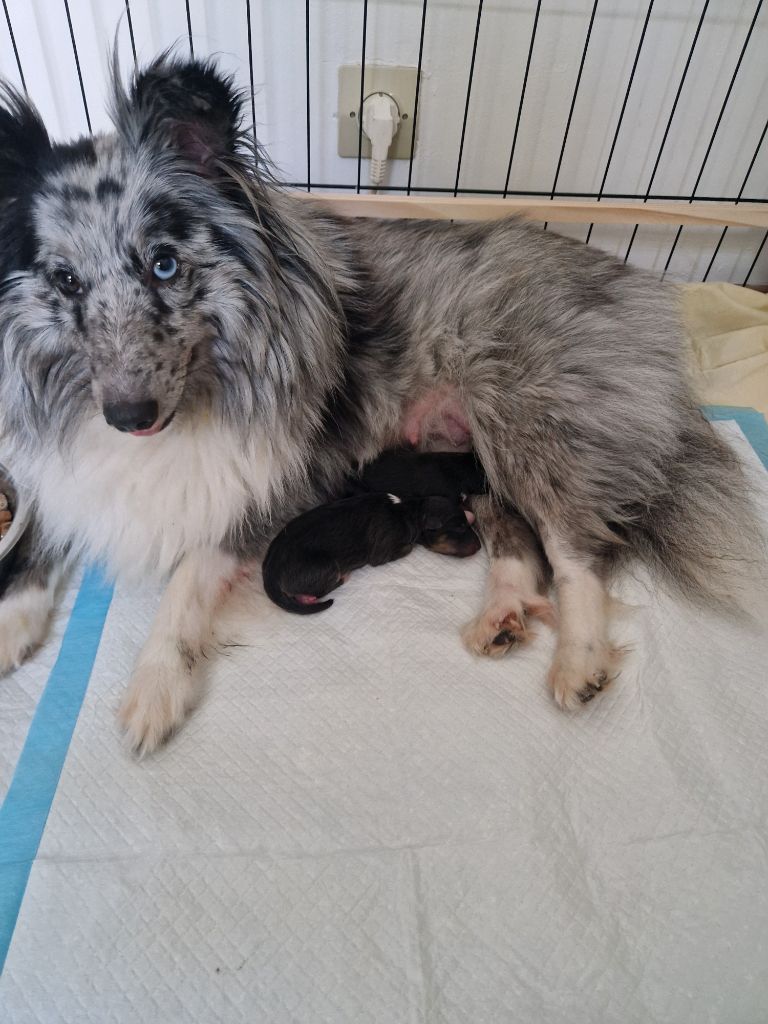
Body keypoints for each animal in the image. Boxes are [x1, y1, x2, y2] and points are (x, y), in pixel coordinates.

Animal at [264, 489, 481, 610]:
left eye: (465, 524)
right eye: (459, 527)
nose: (480, 546)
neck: (410, 508)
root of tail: (269, 575)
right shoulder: (384, 551)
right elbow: (408, 548)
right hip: (327, 567)